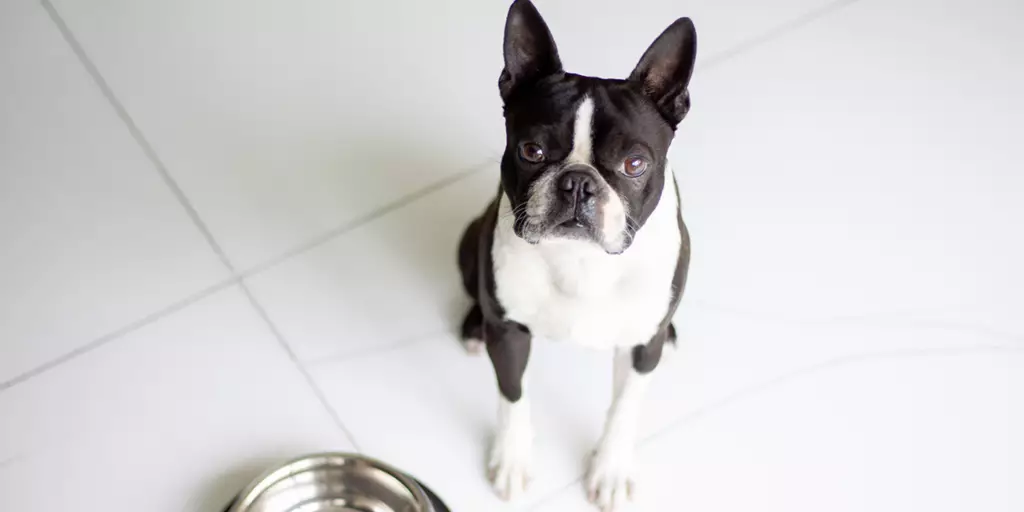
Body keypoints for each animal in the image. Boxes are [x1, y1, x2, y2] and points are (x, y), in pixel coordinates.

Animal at [458, 2, 692, 509]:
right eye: (531, 150)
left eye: (634, 164)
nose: (578, 182)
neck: (582, 262)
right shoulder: (510, 335)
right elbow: (513, 395)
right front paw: (511, 461)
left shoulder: (641, 349)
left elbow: (625, 408)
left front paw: (610, 470)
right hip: (468, 243)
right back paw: (473, 326)